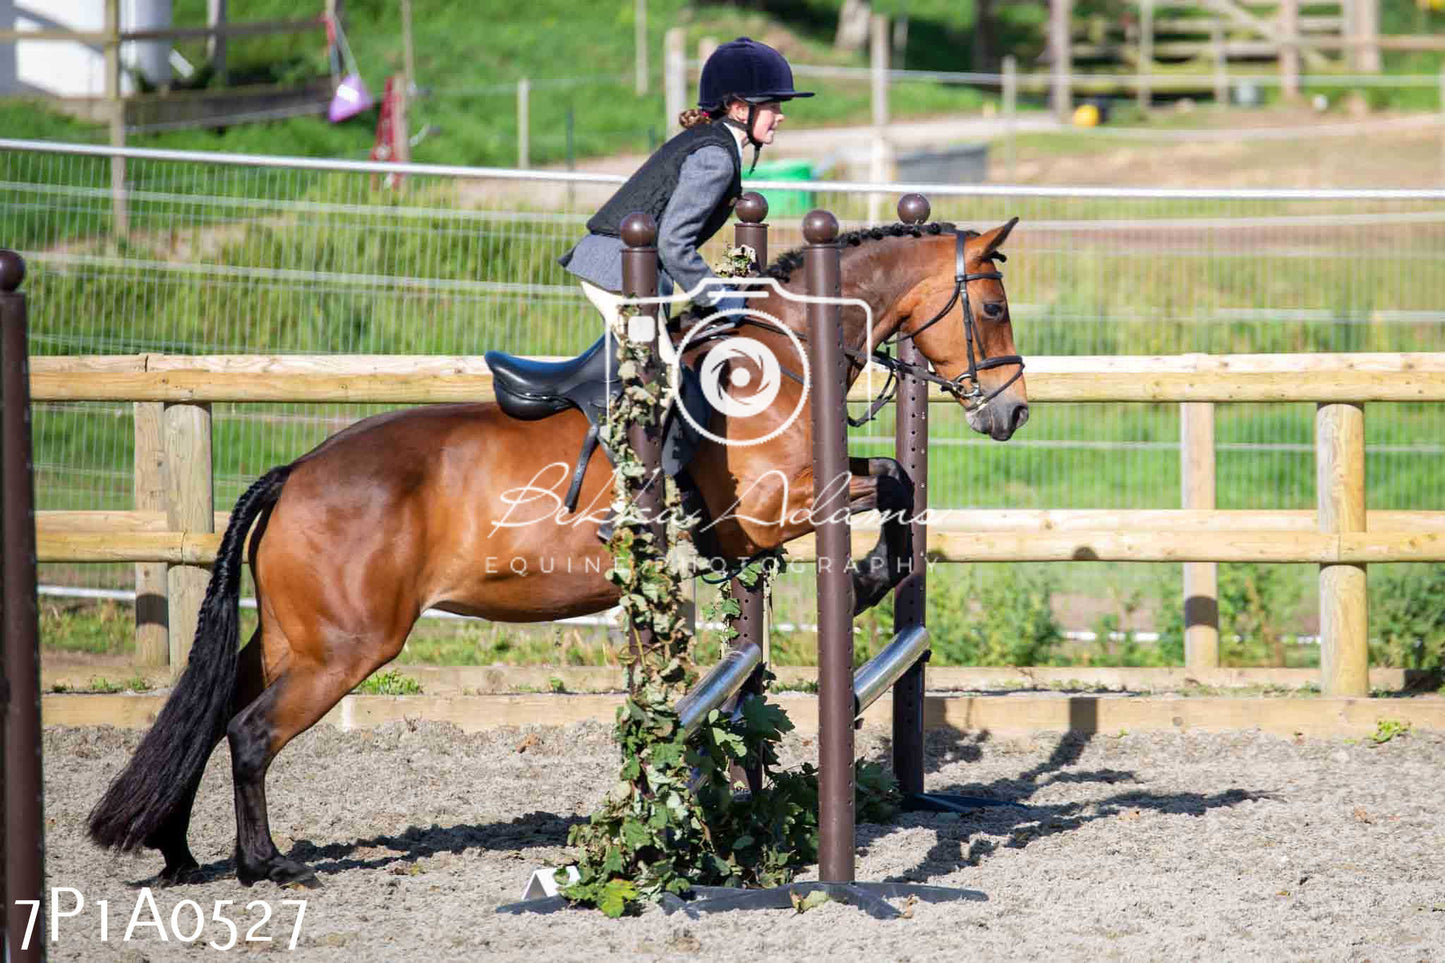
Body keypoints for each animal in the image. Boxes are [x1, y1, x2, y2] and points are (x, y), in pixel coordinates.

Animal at [84, 216, 1028, 884]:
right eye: (991, 308)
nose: (1011, 413)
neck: (780, 353)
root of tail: (296, 473)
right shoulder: (768, 511)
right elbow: (892, 484)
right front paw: (868, 578)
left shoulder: (755, 525)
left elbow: (894, 478)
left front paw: (873, 576)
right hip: (345, 646)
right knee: (248, 732)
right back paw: (266, 864)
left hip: (291, 636)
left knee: (211, 712)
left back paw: (179, 849)